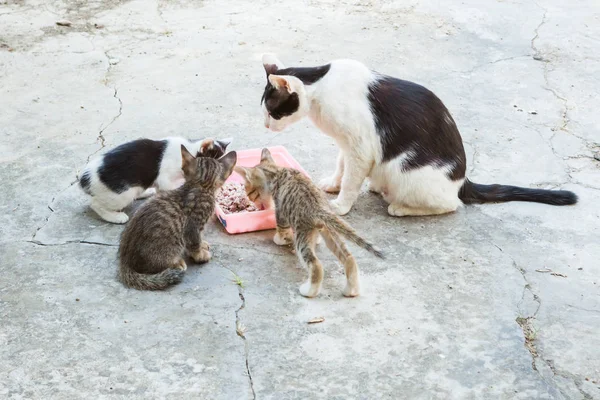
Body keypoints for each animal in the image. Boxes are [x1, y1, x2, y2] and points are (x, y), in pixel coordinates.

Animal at [118, 145, 237, 290]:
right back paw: (177, 263)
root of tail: (125, 261)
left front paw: (203, 243)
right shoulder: (193, 226)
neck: (200, 186)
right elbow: (194, 243)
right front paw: (200, 255)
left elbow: (199, 239)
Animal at [234, 148, 384, 298]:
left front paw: (279, 239)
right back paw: (351, 290)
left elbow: (282, 230)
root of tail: (319, 208)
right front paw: (316, 241)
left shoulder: (281, 212)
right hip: (329, 230)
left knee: (316, 264)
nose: (250, 200)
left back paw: (309, 291)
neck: (276, 172)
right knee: (348, 257)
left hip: (302, 234)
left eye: (249, 192)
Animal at [260, 54, 580, 217]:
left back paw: (400, 207)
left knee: (451, 205)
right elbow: (341, 167)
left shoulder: (360, 148)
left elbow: (351, 179)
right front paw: (332, 184)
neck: (321, 91)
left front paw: (340, 204)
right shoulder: (347, 145)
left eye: (271, 110)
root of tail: (462, 180)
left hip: (406, 171)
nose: (264, 125)